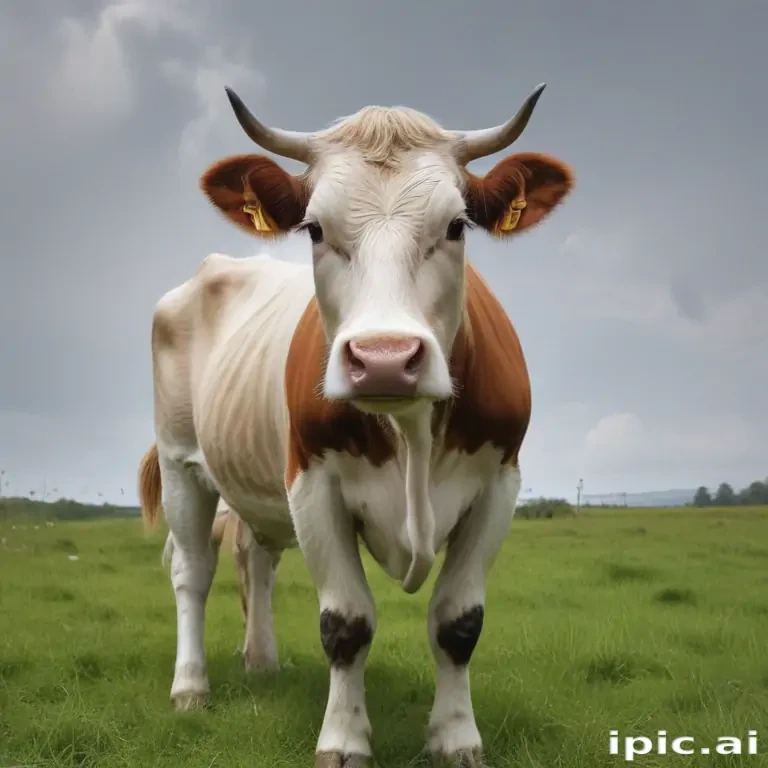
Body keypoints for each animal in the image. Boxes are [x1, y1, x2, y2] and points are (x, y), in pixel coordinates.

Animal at [138, 82, 574, 767]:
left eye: (457, 226)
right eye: (315, 228)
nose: (385, 358)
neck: (411, 432)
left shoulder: (500, 482)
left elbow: (459, 621)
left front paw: (456, 736)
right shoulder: (313, 482)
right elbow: (345, 623)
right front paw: (343, 739)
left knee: (255, 558)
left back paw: (261, 662)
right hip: (183, 460)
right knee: (193, 572)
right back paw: (191, 687)